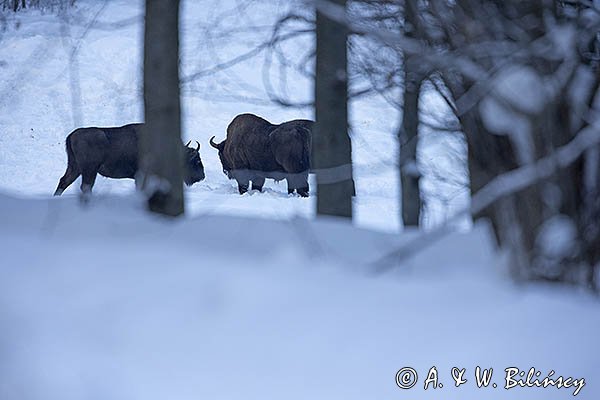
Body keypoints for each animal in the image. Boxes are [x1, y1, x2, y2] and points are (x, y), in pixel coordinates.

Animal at [53, 122, 206, 196]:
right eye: (196, 160)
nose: (202, 176)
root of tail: (72, 135)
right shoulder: (142, 175)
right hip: (89, 170)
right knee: (85, 186)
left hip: (75, 167)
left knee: (64, 181)